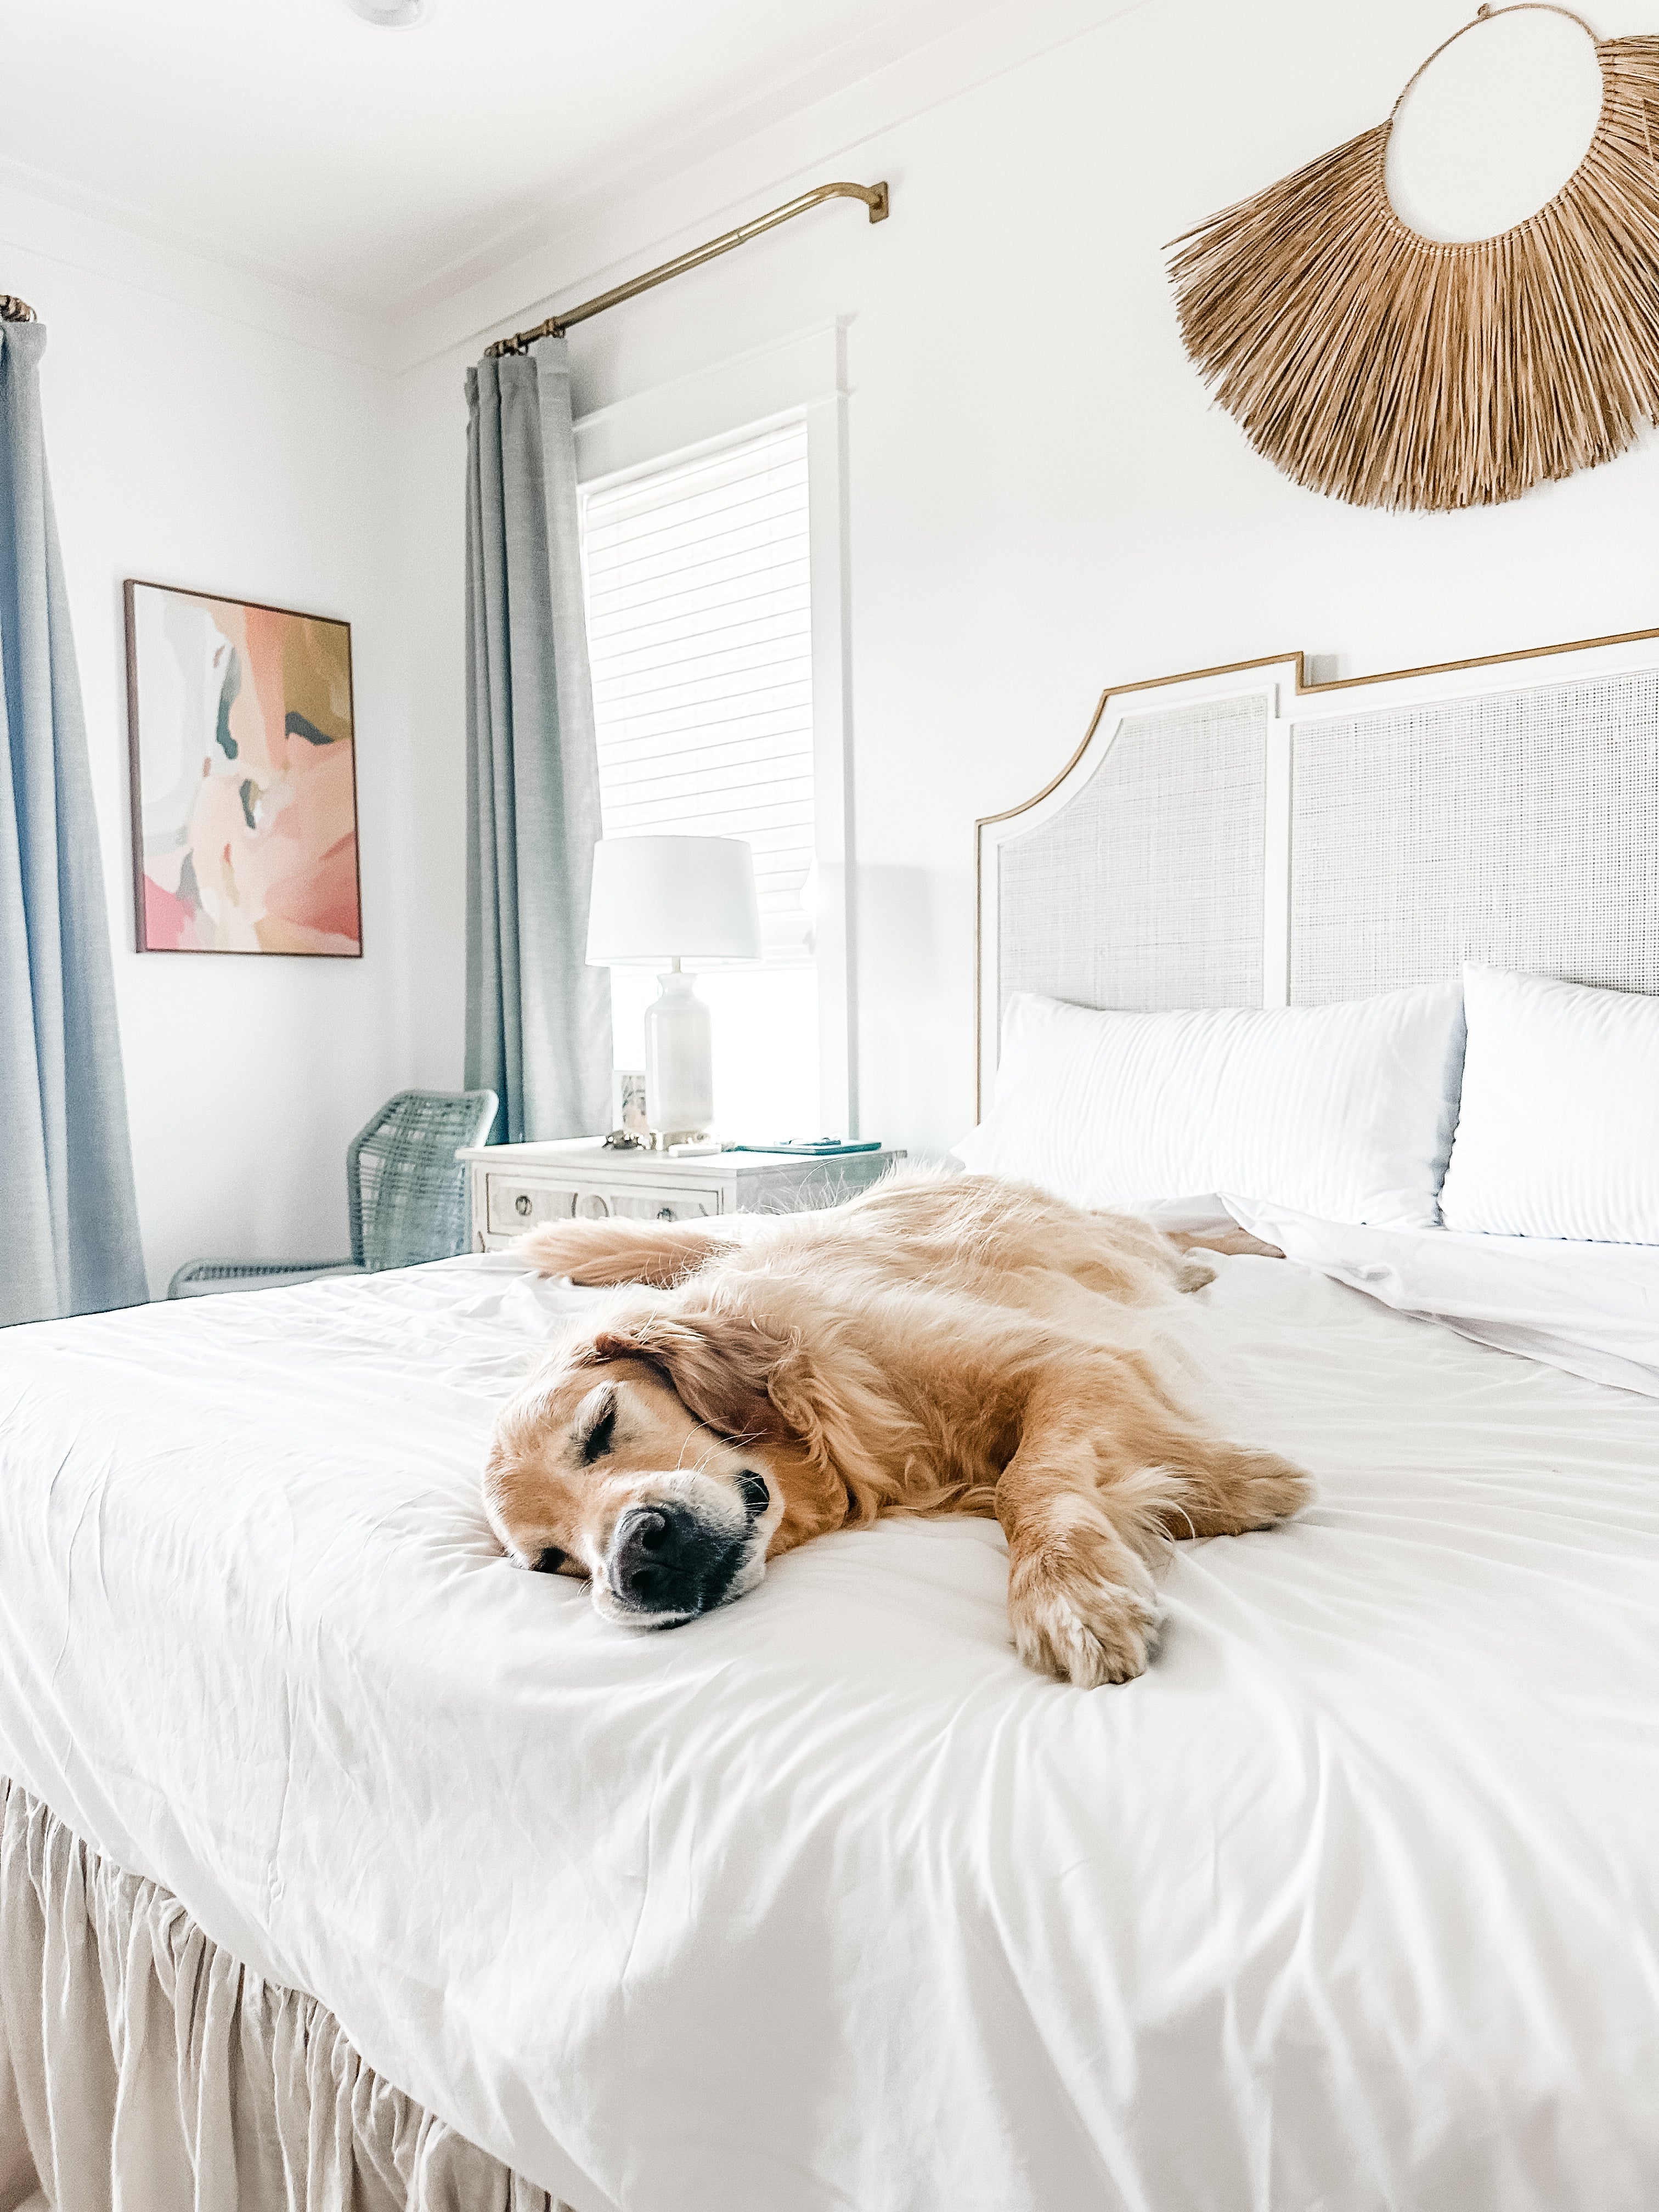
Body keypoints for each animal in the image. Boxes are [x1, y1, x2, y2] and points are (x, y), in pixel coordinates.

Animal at [479, 1177, 1309, 1672]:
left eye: (602, 1425)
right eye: (551, 1561)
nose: (634, 1566)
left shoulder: (1072, 1360)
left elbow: (1030, 1478)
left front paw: (1071, 1591)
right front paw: (1215, 1490)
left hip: (1112, 1244)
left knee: (1168, 1238)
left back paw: (1244, 1247)